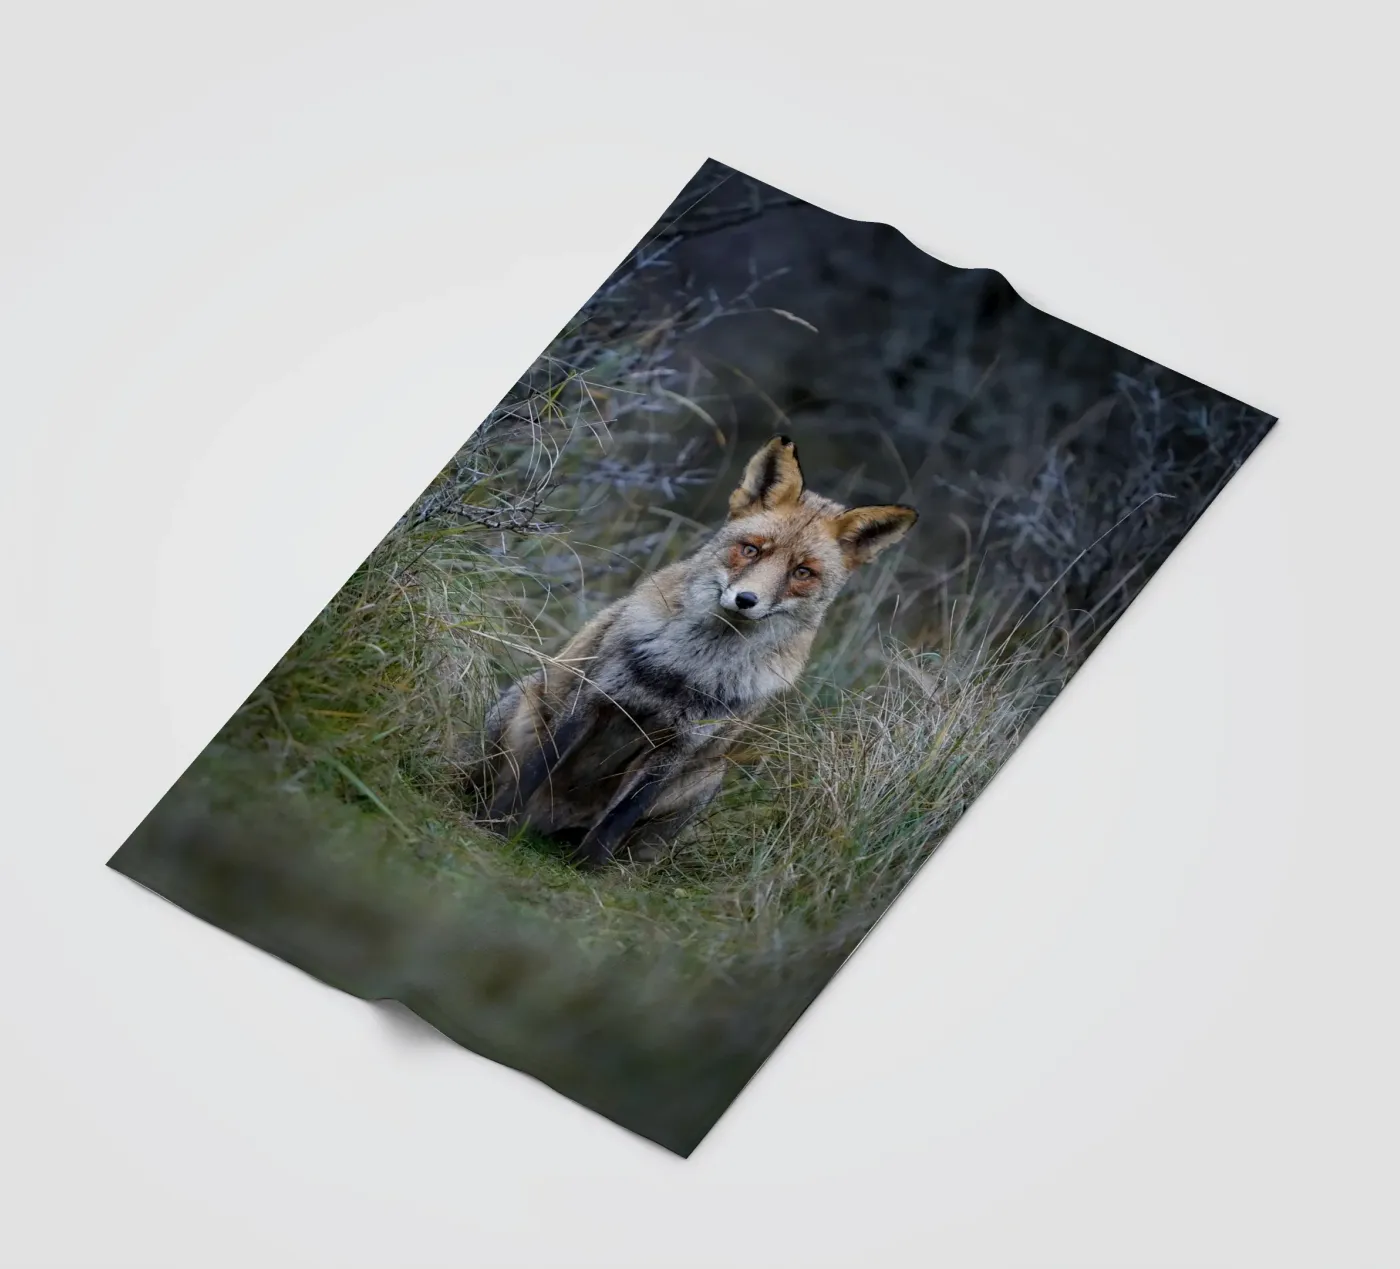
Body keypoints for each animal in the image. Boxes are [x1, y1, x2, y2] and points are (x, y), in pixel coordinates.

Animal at [475, 435, 917, 867]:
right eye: (751, 549)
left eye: (802, 572)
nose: (746, 600)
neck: (688, 670)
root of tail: (545, 825)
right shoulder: (591, 700)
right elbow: (536, 769)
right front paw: (493, 828)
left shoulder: (681, 745)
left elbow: (622, 815)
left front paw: (590, 870)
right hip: (521, 706)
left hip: (708, 777)